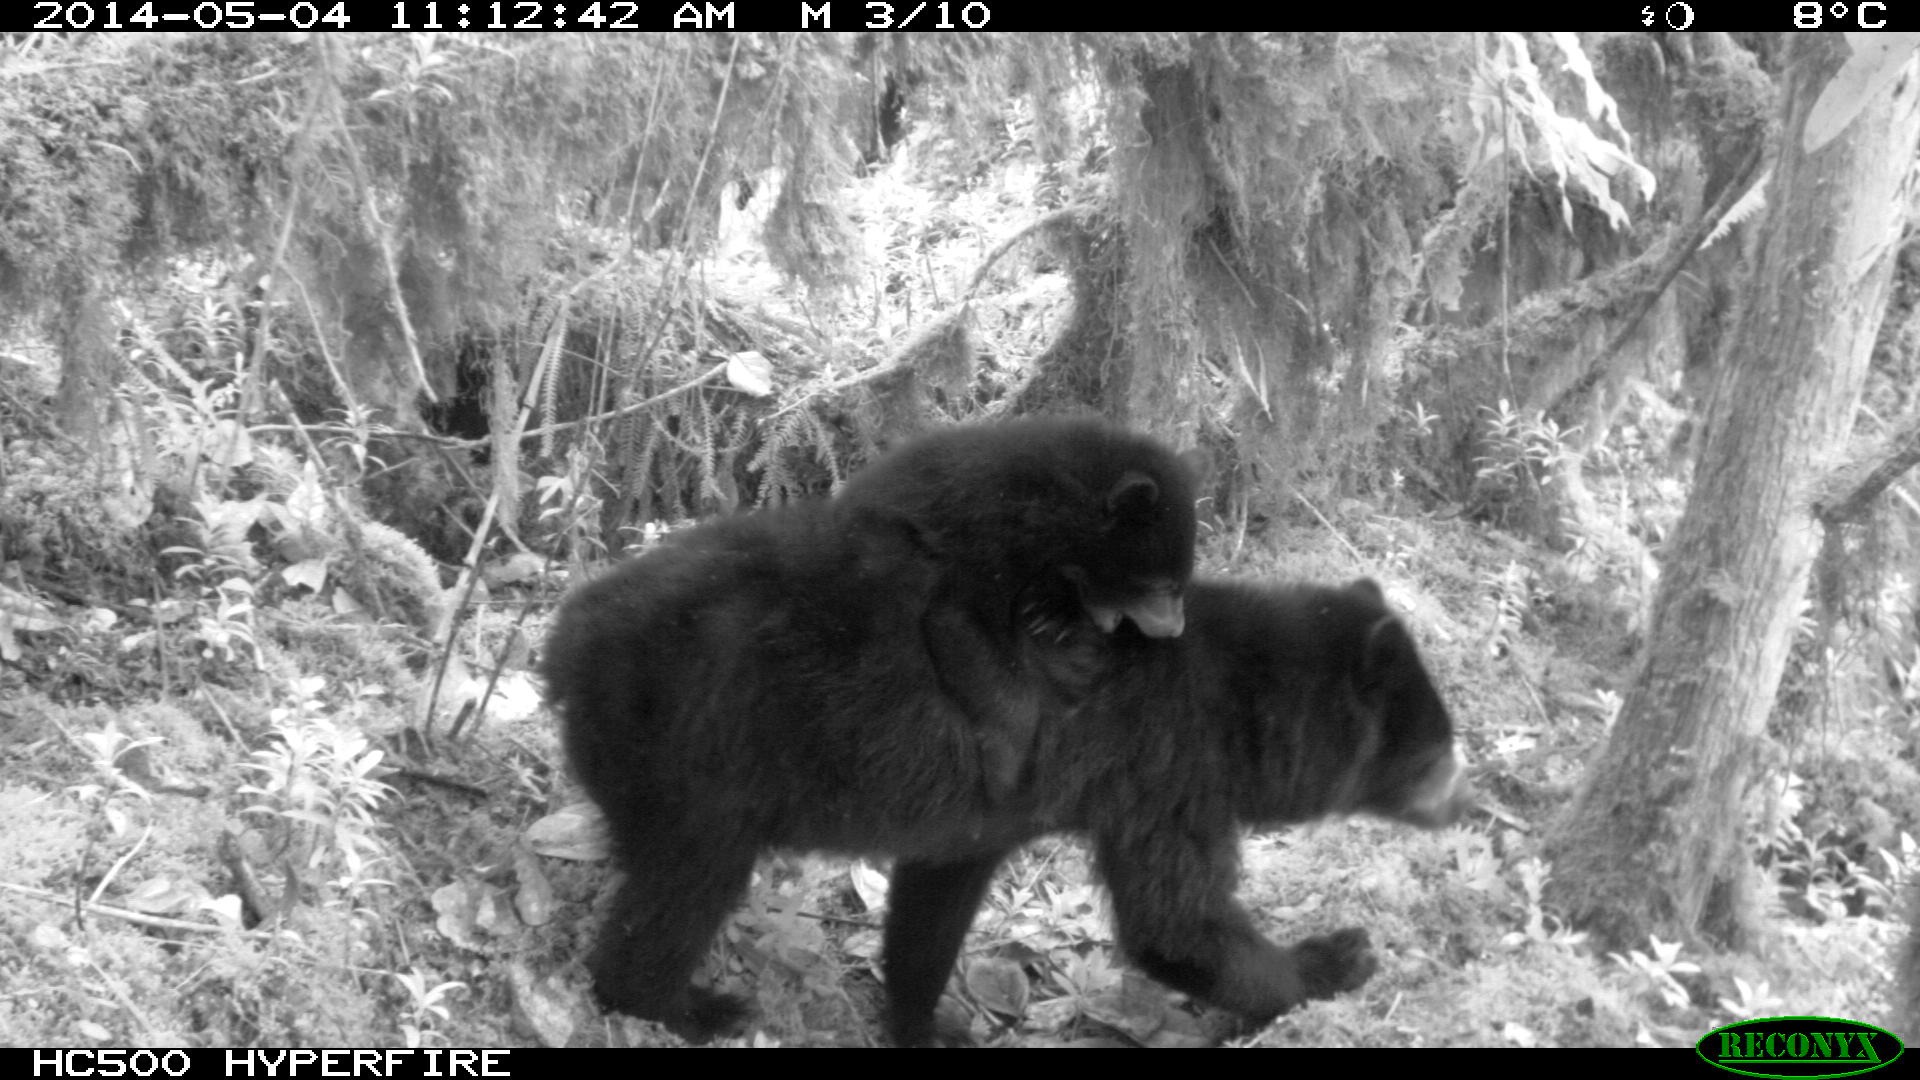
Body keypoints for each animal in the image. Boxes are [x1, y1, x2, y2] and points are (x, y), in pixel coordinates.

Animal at [544, 520, 1469, 1044]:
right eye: (1438, 752)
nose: (1464, 805)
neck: (1236, 704)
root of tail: (568, 633)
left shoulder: (987, 814)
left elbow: (935, 902)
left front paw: (929, 1020)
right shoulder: (1162, 771)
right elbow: (1176, 923)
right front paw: (1333, 958)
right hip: (701, 757)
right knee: (686, 888)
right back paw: (686, 1006)